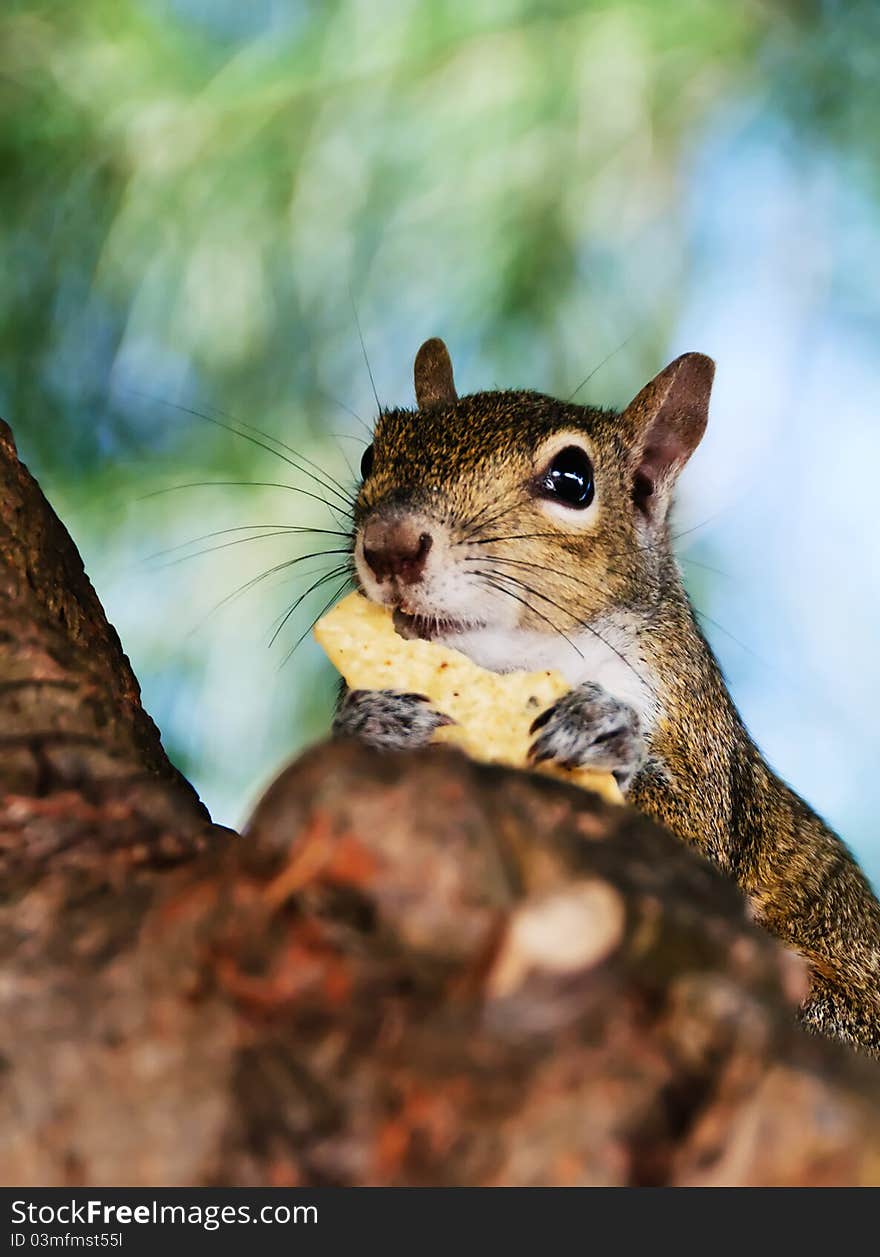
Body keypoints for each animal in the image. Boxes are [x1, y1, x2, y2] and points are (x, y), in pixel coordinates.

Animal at [334, 334, 880, 1050]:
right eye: (371, 455)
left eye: (572, 480)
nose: (389, 545)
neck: (520, 660)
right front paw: (371, 718)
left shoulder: (692, 728)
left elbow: (693, 840)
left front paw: (600, 733)